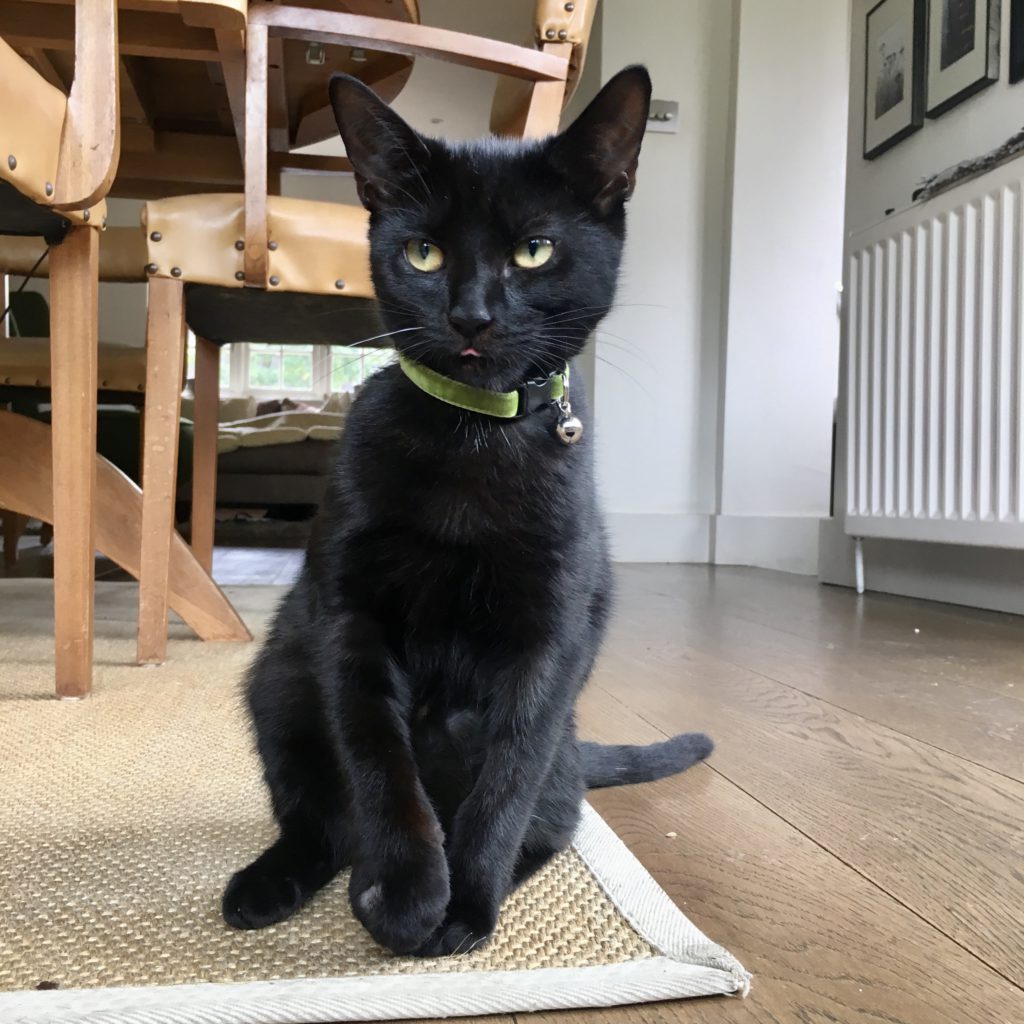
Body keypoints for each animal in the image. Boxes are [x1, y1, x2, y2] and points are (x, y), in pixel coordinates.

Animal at [223, 68, 712, 954]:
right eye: (424, 253)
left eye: (534, 251)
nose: (472, 315)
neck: (473, 439)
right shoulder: (349, 617)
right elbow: (379, 759)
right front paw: (406, 890)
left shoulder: (550, 637)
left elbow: (506, 781)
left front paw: (460, 907)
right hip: (279, 684)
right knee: (319, 821)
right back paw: (275, 884)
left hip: (555, 751)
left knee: (551, 818)